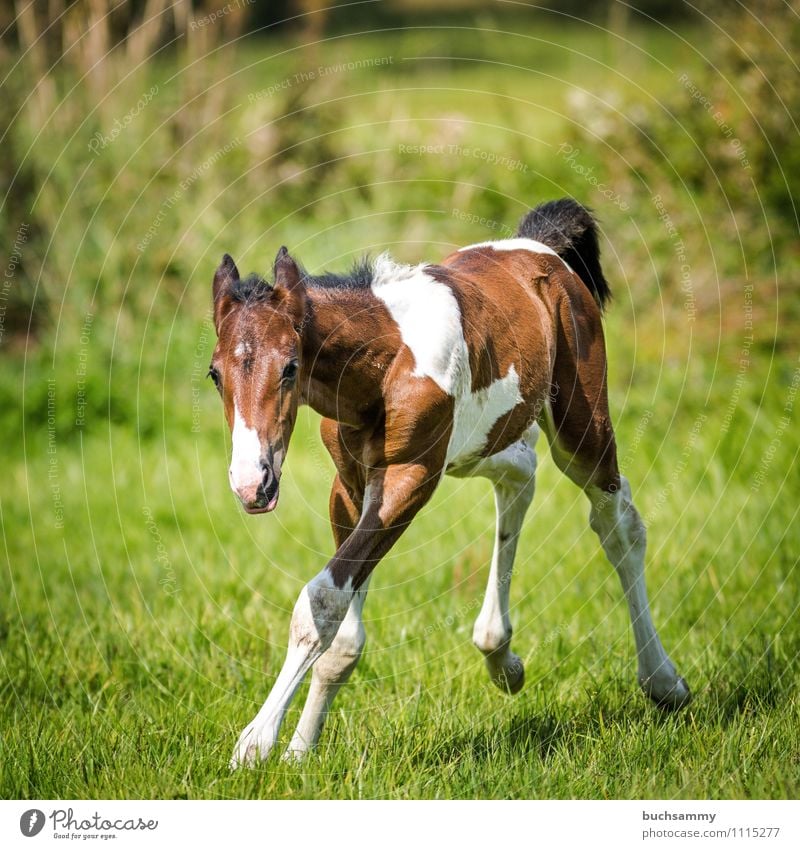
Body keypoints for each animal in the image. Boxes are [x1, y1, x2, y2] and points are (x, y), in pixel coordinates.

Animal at [209, 200, 692, 768]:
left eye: (289, 367)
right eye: (215, 374)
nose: (251, 484)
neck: (384, 363)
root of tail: (541, 247)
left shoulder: (410, 480)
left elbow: (321, 602)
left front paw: (256, 742)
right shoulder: (350, 487)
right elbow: (341, 630)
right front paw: (300, 751)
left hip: (581, 428)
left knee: (618, 524)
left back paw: (663, 682)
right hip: (480, 442)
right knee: (520, 475)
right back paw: (500, 655)